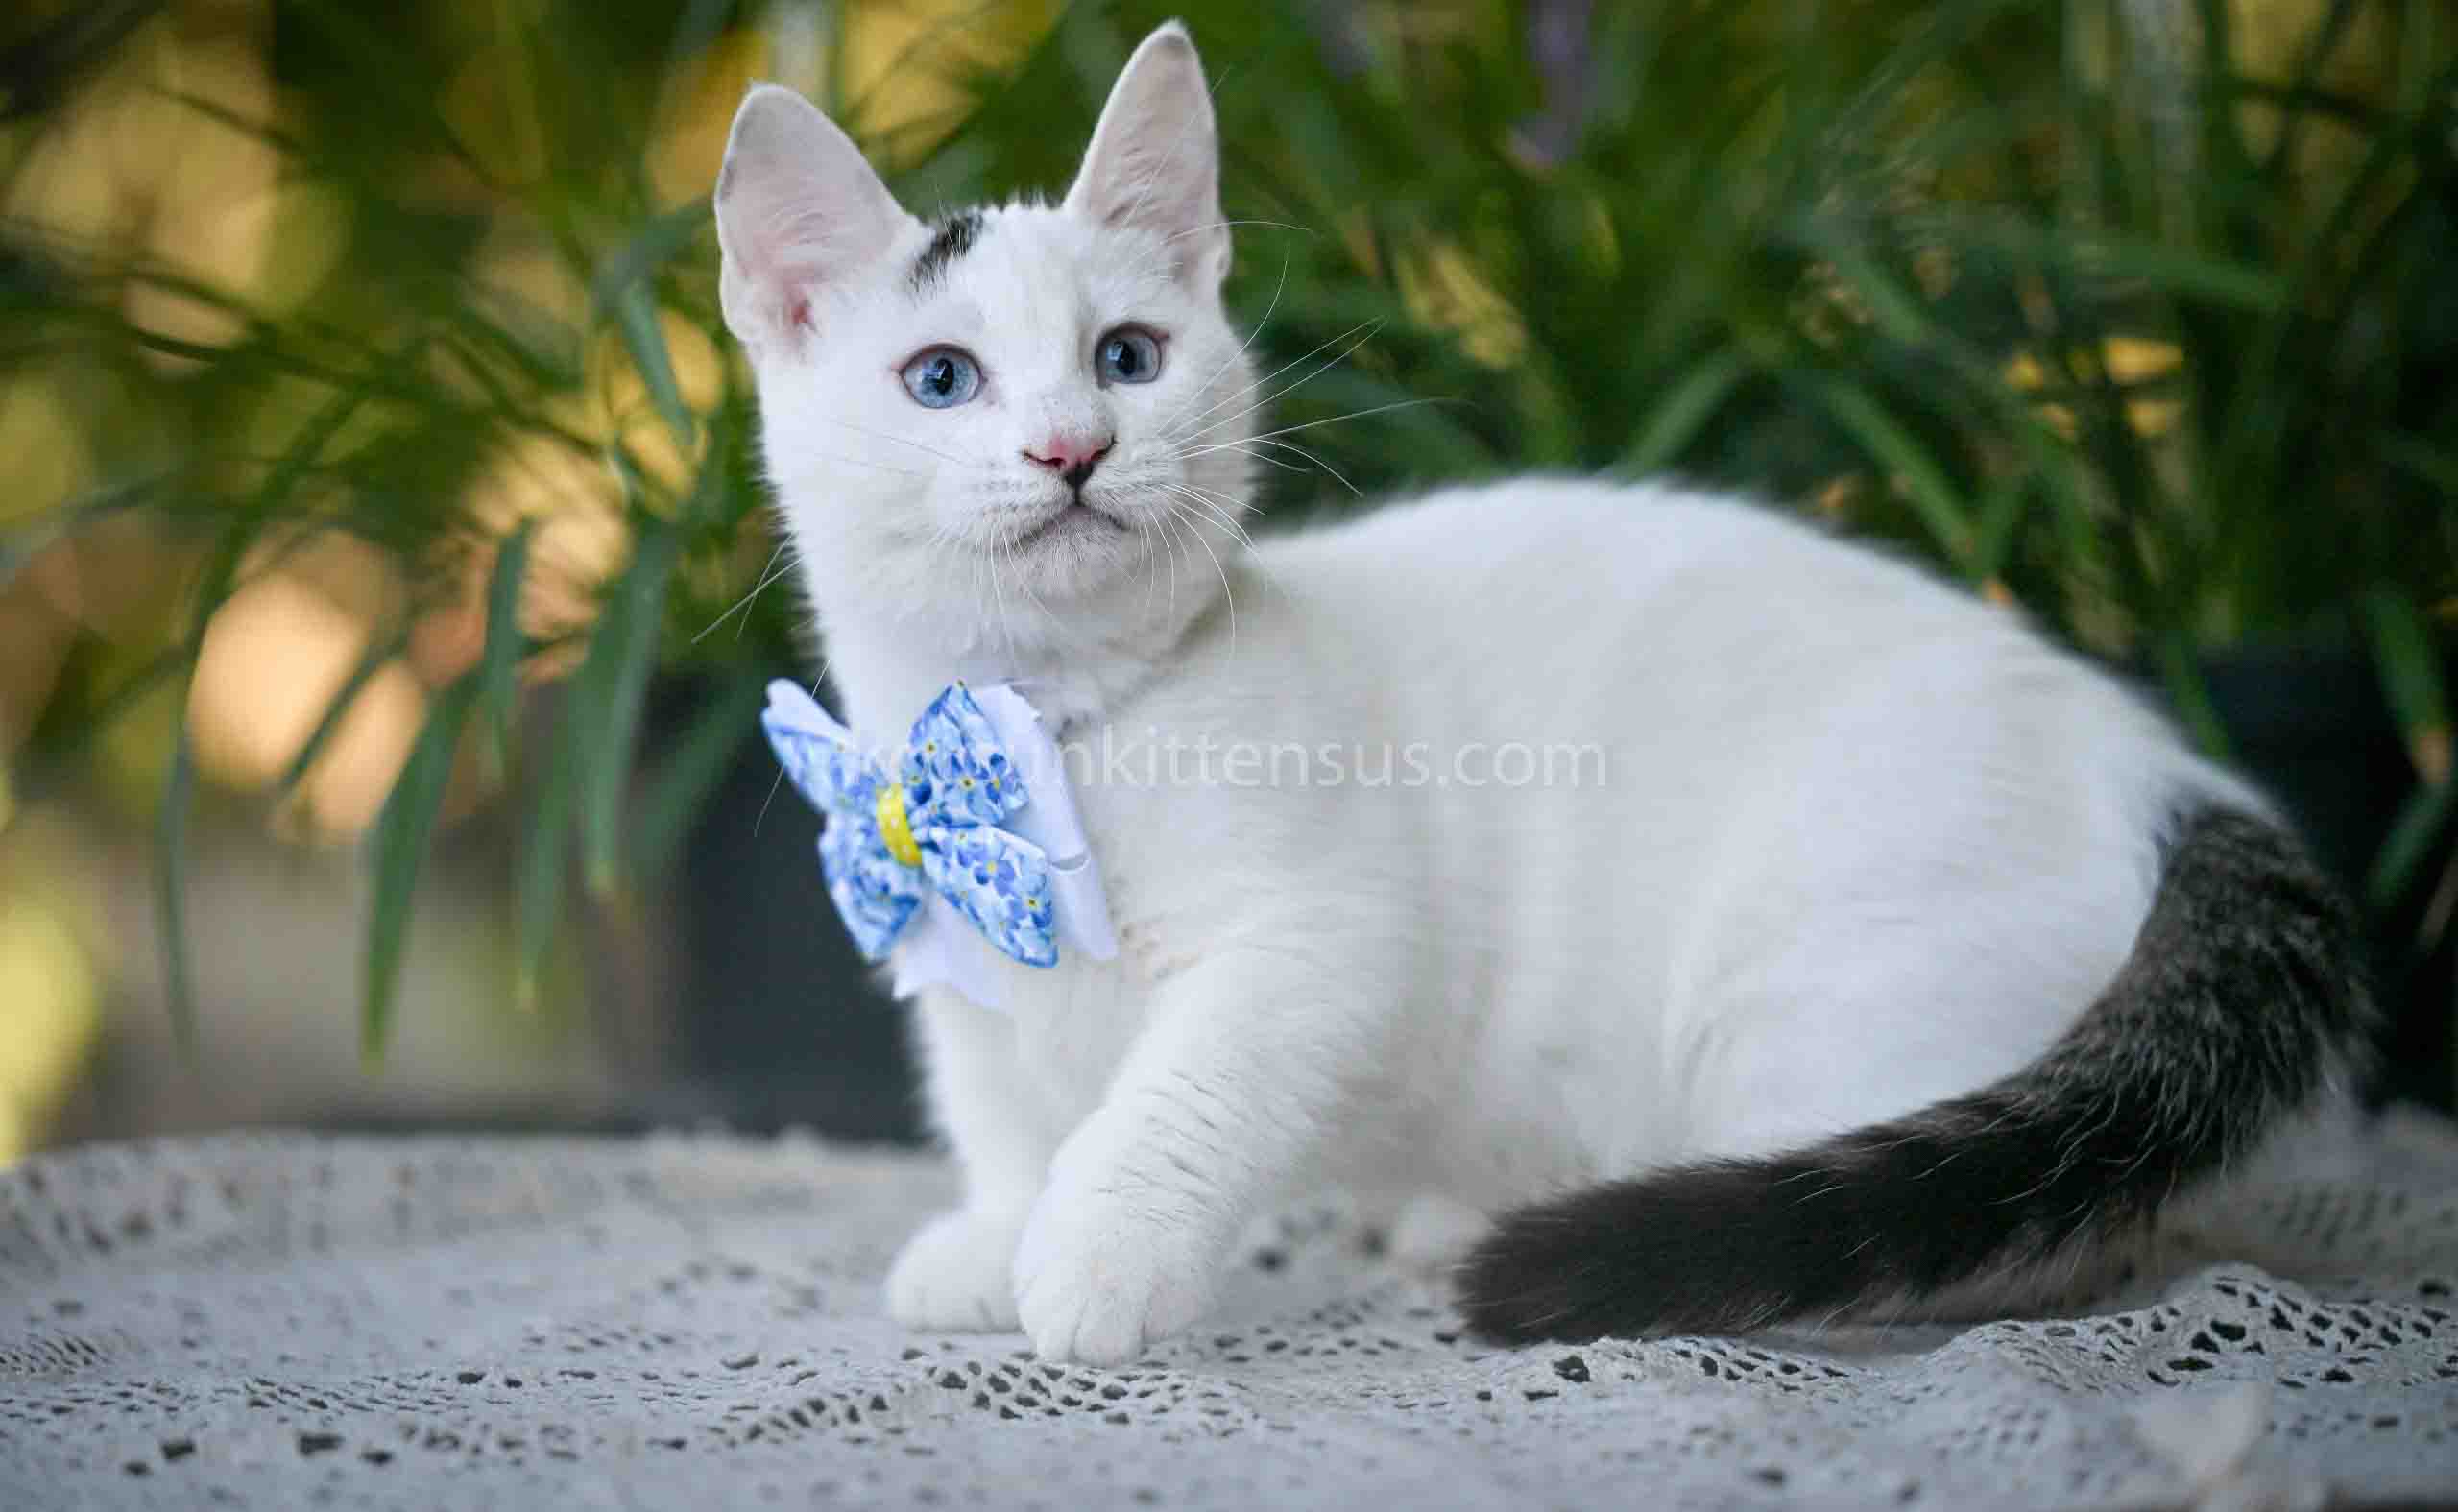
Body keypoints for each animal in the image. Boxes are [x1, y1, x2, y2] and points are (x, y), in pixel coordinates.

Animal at [713, 22, 2370, 1365]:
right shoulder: (948, 947)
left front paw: (1094, 1248)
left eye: (1127, 357)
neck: (1044, 727)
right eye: (943, 379)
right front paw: (996, 1230)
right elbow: (996, 1102)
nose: (1073, 448)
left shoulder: (1320, 938)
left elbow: (1186, 1088)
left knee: (1980, 1222)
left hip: (1820, 981)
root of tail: (2164, 772)